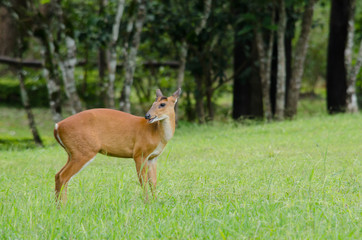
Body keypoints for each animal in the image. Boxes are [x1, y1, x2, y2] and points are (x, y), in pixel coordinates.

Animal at [53, 88, 181, 202]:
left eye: (162, 104)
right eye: (153, 104)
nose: (147, 116)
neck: (156, 134)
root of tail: (57, 127)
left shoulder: (153, 157)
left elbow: (153, 181)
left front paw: (156, 201)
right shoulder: (139, 153)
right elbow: (143, 180)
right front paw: (147, 202)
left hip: (72, 152)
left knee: (58, 175)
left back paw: (58, 206)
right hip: (84, 151)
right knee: (63, 176)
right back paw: (63, 207)